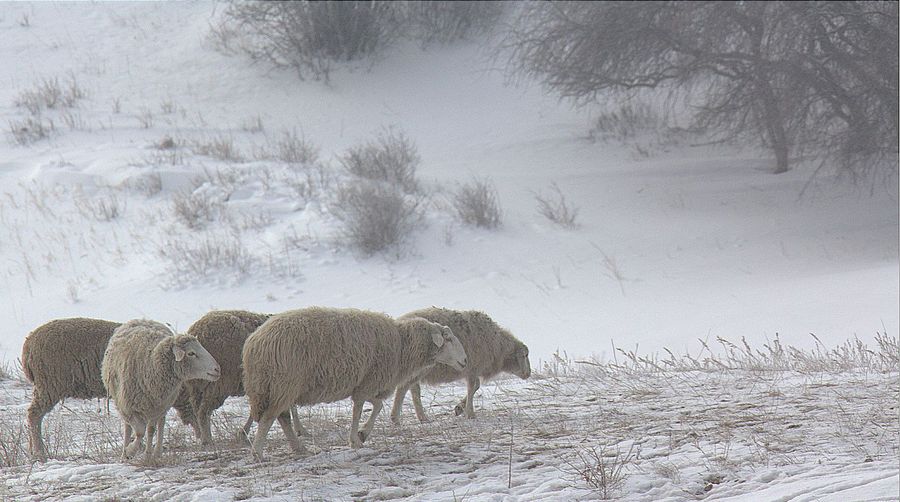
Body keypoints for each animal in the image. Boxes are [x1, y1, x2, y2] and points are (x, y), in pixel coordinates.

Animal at [101, 318, 221, 462]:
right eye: (191, 353)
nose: (217, 369)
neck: (150, 364)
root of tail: (143, 319)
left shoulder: (156, 407)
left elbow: (149, 430)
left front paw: (145, 454)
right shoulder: (128, 407)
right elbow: (139, 431)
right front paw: (129, 451)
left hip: (162, 405)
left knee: (159, 425)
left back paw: (156, 452)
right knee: (129, 428)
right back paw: (126, 454)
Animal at [243, 306, 468, 458]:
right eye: (448, 339)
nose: (465, 360)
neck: (402, 344)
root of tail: (254, 344)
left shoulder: (364, 384)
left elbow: (372, 406)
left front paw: (360, 435)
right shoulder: (368, 382)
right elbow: (364, 409)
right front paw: (357, 438)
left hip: (277, 387)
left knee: (282, 418)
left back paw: (299, 448)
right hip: (284, 383)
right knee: (269, 418)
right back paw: (258, 453)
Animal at [390, 306, 532, 424]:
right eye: (525, 355)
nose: (529, 373)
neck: (498, 343)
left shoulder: (472, 369)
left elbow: (476, 386)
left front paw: (459, 408)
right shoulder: (473, 367)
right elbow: (472, 387)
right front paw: (470, 413)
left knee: (409, 388)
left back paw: (414, 417)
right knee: (407, 388)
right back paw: (414, 417)